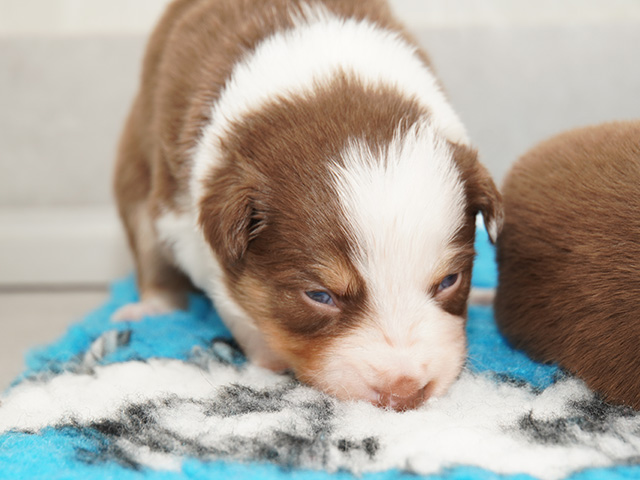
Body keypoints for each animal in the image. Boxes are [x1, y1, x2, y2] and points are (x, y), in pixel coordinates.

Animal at [113, 0, 502, 411]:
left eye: (449, 280)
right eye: (319, 296)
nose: (404, 392)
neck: (327, 86)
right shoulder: (185, 223)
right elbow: (228, 295)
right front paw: (267, 355)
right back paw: (150, 309)